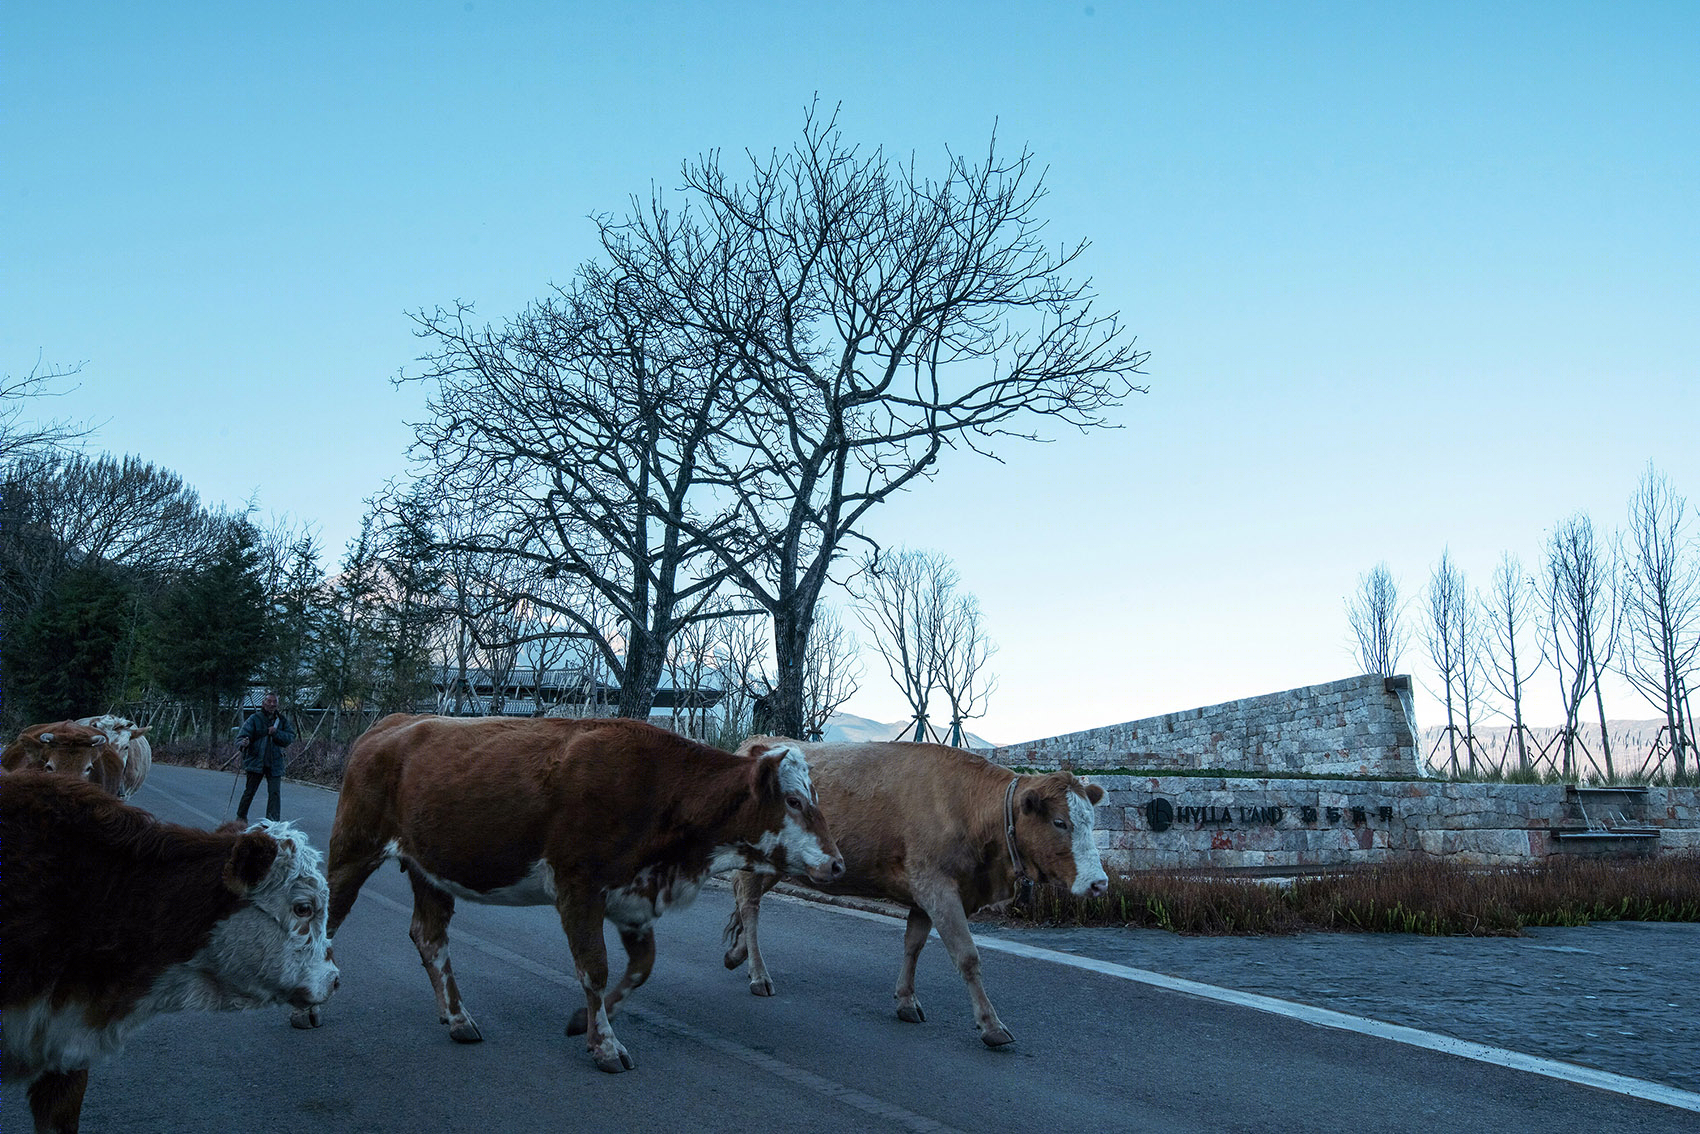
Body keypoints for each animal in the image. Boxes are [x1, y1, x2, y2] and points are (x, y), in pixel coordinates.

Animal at [304, 714, 843, 1081]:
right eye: (794, 800)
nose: (838, 863)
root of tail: (392, 723)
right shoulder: (578, 888)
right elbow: (594, 968)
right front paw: (604, 1045)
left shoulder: (634, 900)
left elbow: (642, 967)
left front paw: (580, 1021)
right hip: (353, 850)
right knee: (327, 922)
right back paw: (307, 1007)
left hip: (428, 870)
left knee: (430, 937)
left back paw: (458, 1018)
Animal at [720, 741, 1108, 1054]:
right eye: (1060, 823)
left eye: (1091, 821)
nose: (1099, 883)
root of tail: (755, 742)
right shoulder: (937, 886)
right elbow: (967, 956)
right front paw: (991, 1024)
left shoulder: (925, 893)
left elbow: (914, 944)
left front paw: (906, 1000)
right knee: (750, 905)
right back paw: (758, 975)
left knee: (742, 901)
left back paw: (737, 953)